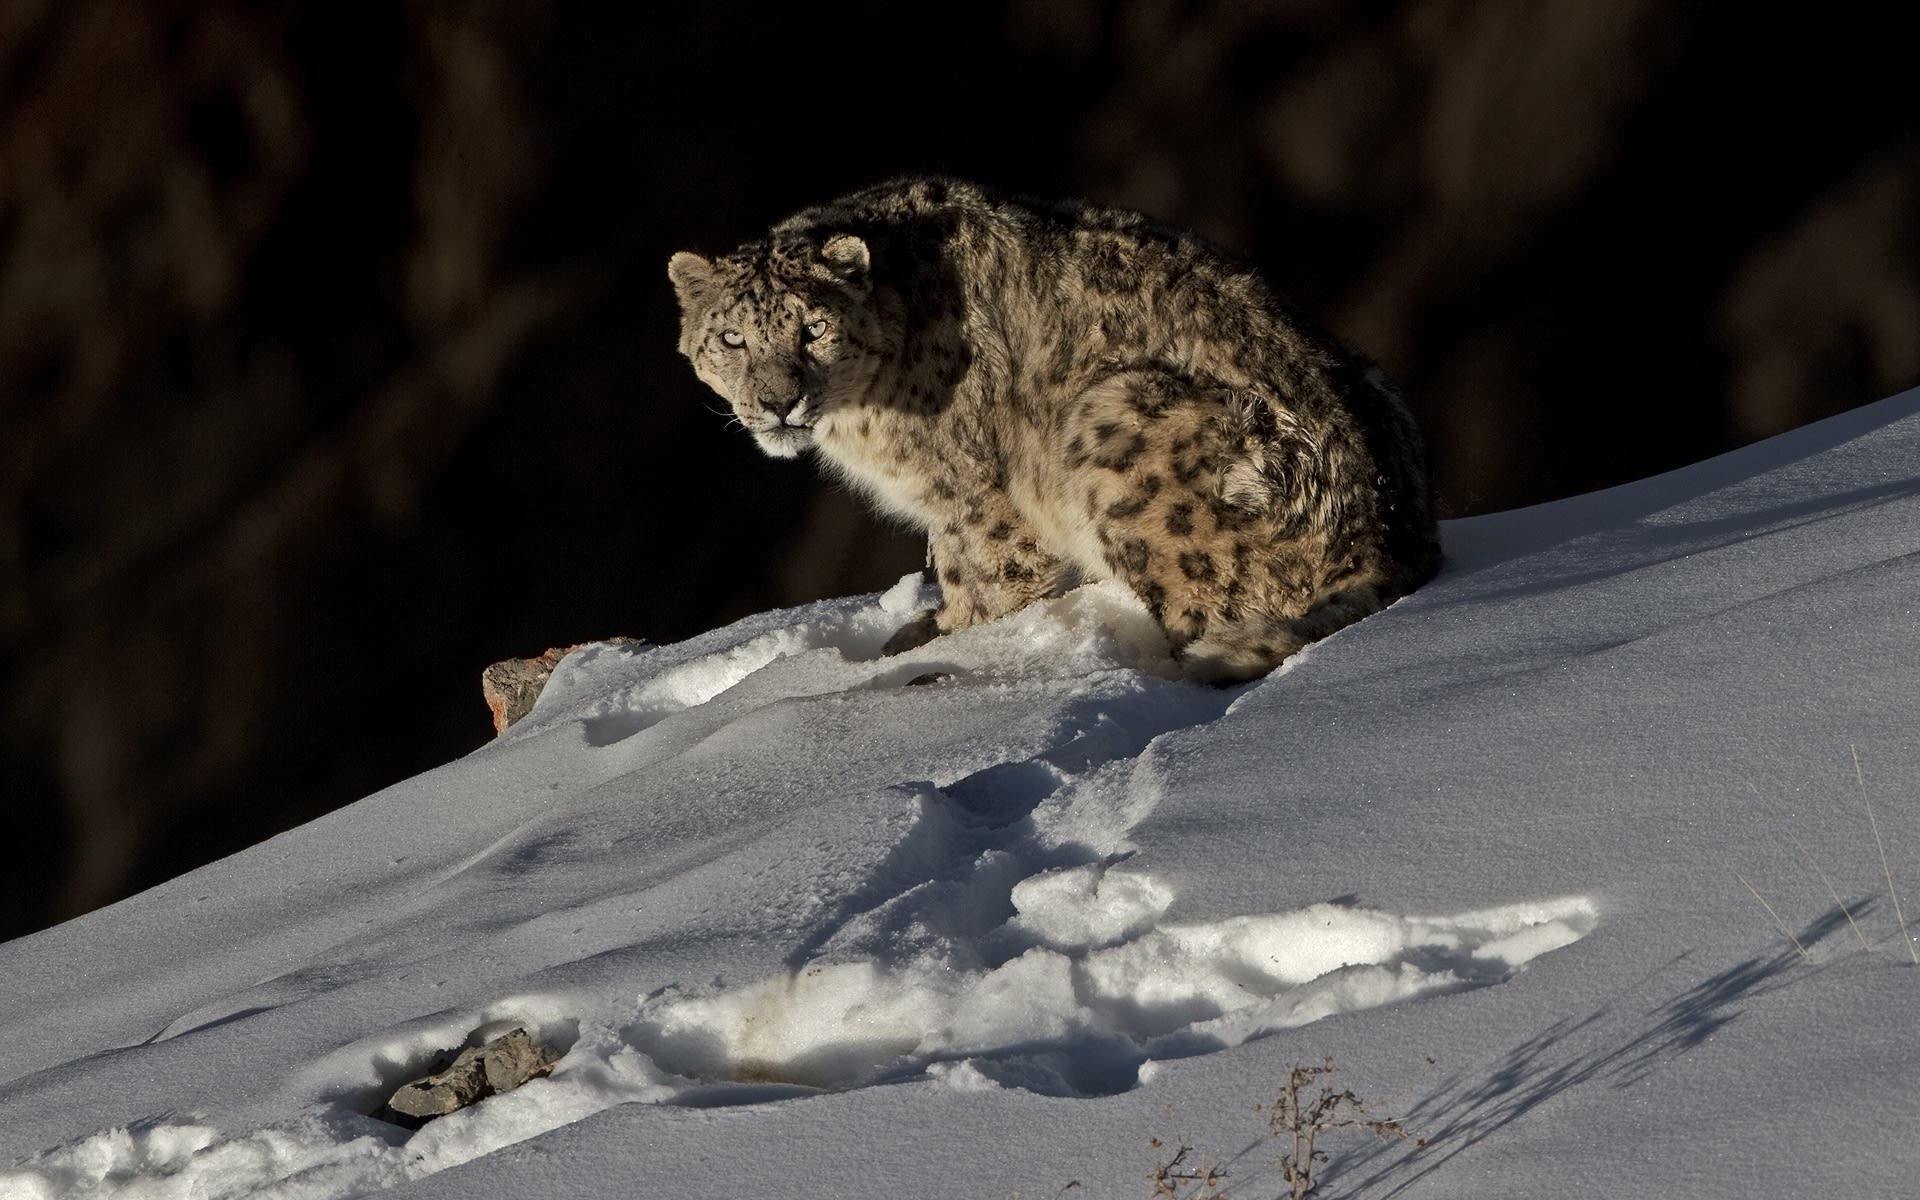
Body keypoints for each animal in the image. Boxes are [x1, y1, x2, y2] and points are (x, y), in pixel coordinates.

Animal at [669, 177, 1440, 683]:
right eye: (732, 338)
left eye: (814, 328)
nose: (778, 402)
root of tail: (1393, 536)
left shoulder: (976, 497)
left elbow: (987, 577)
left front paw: (948, 647)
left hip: (1119, 420)